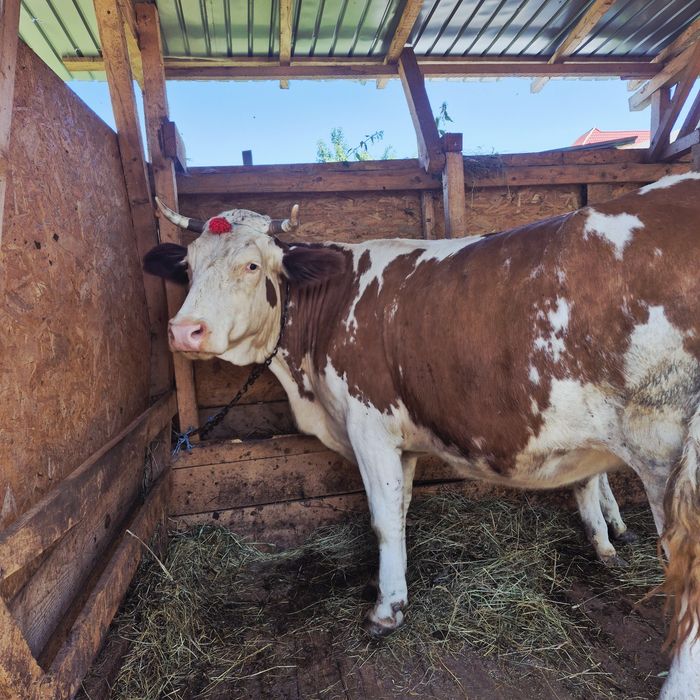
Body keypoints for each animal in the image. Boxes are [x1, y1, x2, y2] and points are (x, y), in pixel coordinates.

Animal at [145, 172, 700, 698]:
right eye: (188, 267)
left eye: (252, 266)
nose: (184, 331)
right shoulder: (401, 440)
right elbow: (401, 508)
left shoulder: (368, 426)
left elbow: (383, 519)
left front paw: (386, 609)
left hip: (666, 456)